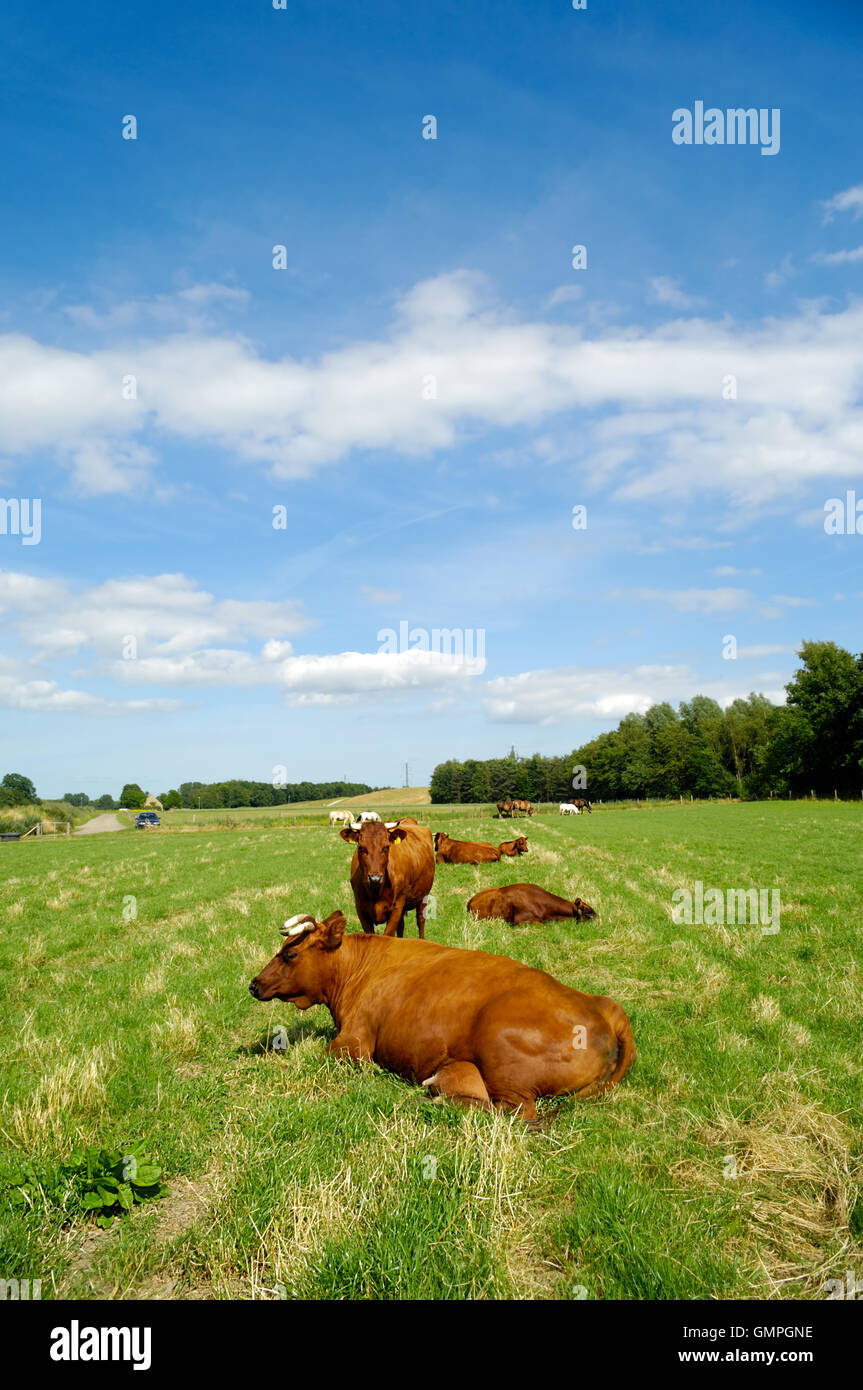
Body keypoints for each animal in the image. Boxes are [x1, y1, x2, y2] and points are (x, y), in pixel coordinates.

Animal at [249, 911, 635, 1125]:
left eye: (290, 954)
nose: (253, 984)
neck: (358, 970)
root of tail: (605, 1015)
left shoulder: (354, 1043)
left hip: (505, 1066)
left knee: (510, 1112)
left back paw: (435, 1098)